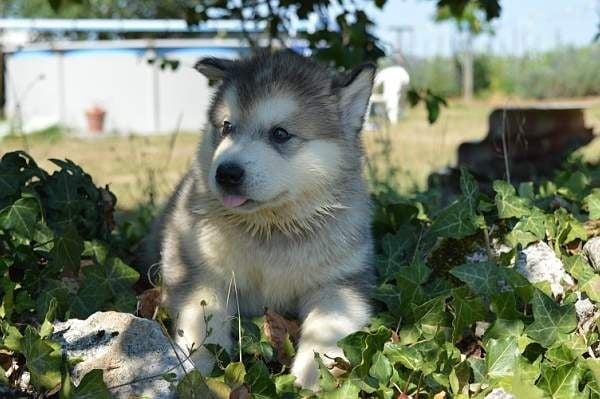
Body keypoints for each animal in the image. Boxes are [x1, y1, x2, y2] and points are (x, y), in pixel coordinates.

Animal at [155, 50, 378, 390]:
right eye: (226, 127)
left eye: (280, 133)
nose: (226, 173)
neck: (271, 227)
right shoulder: (198, 271)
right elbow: (200, 322)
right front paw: (197, 371)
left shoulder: (342, 283)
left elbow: (325, 330)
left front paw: (309, 377)